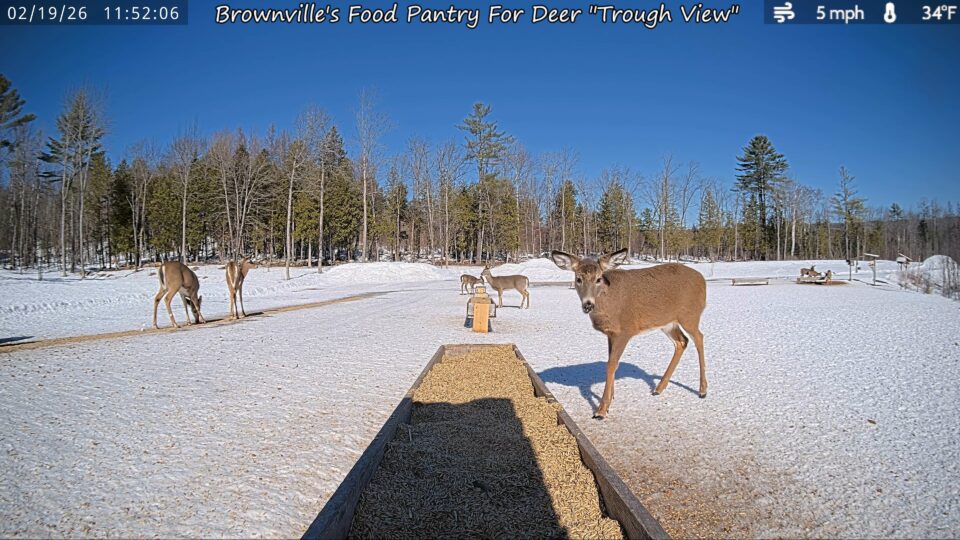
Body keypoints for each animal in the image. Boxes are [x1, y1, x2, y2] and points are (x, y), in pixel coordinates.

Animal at [551, 248, 707, 419]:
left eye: (598, 279)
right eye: (578, 279)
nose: (588, 305)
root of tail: (703, 280)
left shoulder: (625, 331)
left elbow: (611, 364)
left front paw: (601, 410)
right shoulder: (611, 334)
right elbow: (611, 362)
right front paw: (610, 399)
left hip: (690, 315)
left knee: (699, 337)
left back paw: (702, 390)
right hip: (668, 323)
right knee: (682, 341)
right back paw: (658, 388)